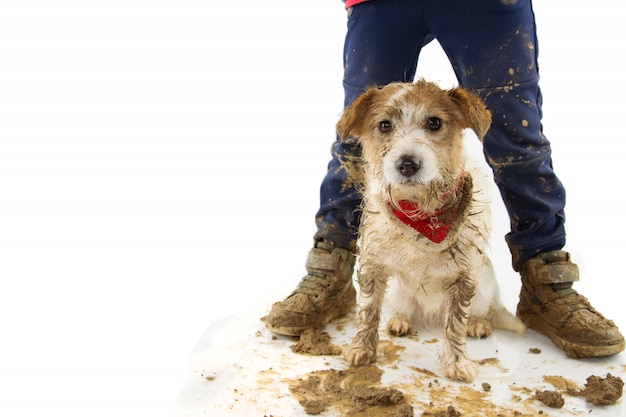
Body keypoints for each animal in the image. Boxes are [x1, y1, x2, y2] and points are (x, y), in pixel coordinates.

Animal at [336, 79, 520, 382]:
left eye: (434, 122)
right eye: (384, 125)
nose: (407, 164)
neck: (421, 210)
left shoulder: (463, 277)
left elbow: (455, 323)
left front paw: (457, 362)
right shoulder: (373, 265)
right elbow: (368, 310)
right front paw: (361, 349)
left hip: (485, 291)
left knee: (486, 312)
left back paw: (479, 324)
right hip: (398, 294)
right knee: (402, 309)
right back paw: (400, 320)